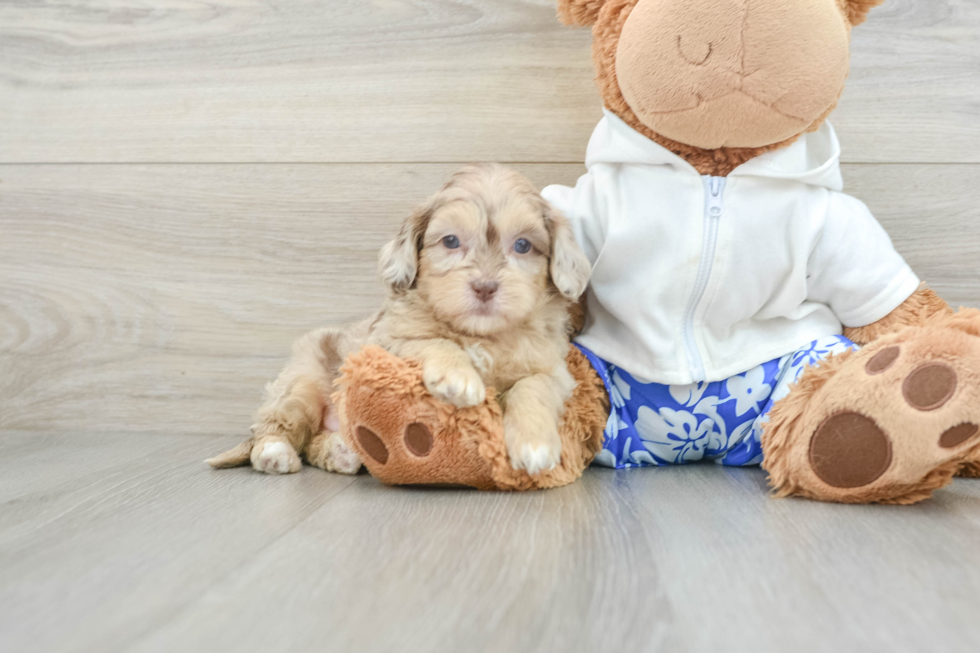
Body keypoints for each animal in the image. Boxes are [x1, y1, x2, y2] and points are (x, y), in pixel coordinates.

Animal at [207, 166, 588, 476]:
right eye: (451, 241)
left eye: (523, 245)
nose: (485, 287)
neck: (480, 335)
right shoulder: (386, 344)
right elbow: (432, 340)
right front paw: (458, 377)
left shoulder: (554, 369)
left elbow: (534, 386)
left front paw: (535, 445)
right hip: (303, 382)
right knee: (278, 425)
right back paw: (275, 453)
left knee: (315, 442)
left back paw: (343, 452)